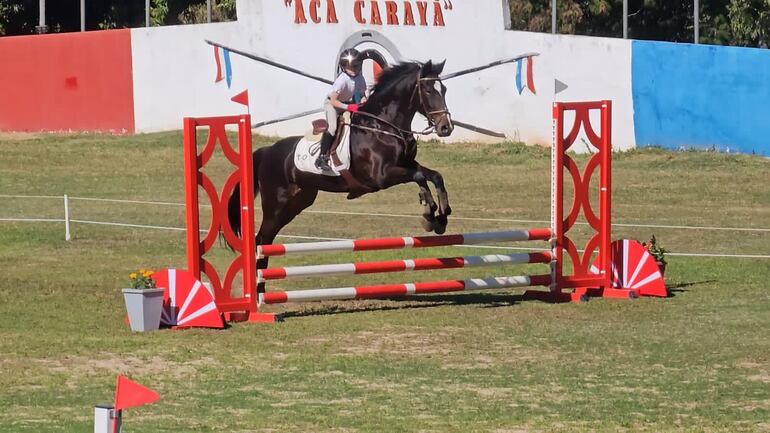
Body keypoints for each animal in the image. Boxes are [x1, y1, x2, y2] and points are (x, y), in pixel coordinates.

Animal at [228, 59, 452, 286]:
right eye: (428, 90)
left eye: (443, 89)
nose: (446, 128)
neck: (383, 125)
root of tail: (266, 152)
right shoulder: (382, 176)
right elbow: (419, 177)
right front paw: (429, 212)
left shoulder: (408, 163)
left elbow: (434, 176)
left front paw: (441, 217)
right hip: (275, 205)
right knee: (261, 240)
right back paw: (258, 288)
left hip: (297, 202)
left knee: (266, 241)